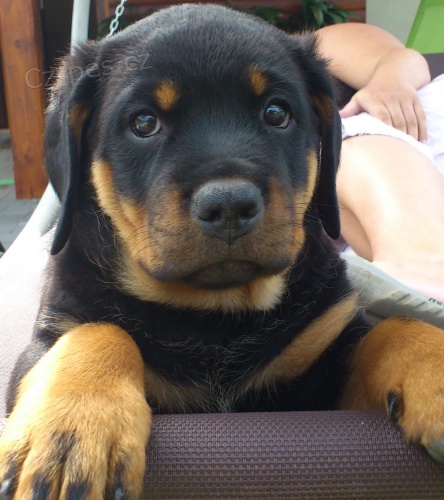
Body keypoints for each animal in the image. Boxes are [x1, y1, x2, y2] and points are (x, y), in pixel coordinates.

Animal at [1, 4, 444, 498]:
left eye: (276, 112)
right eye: (143, 123)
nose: (229, 205)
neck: (213, 317)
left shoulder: (326, 363)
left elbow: (394, 329)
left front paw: (435, 367)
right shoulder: (50, 335)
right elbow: (97, 331)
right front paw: (73, 427)